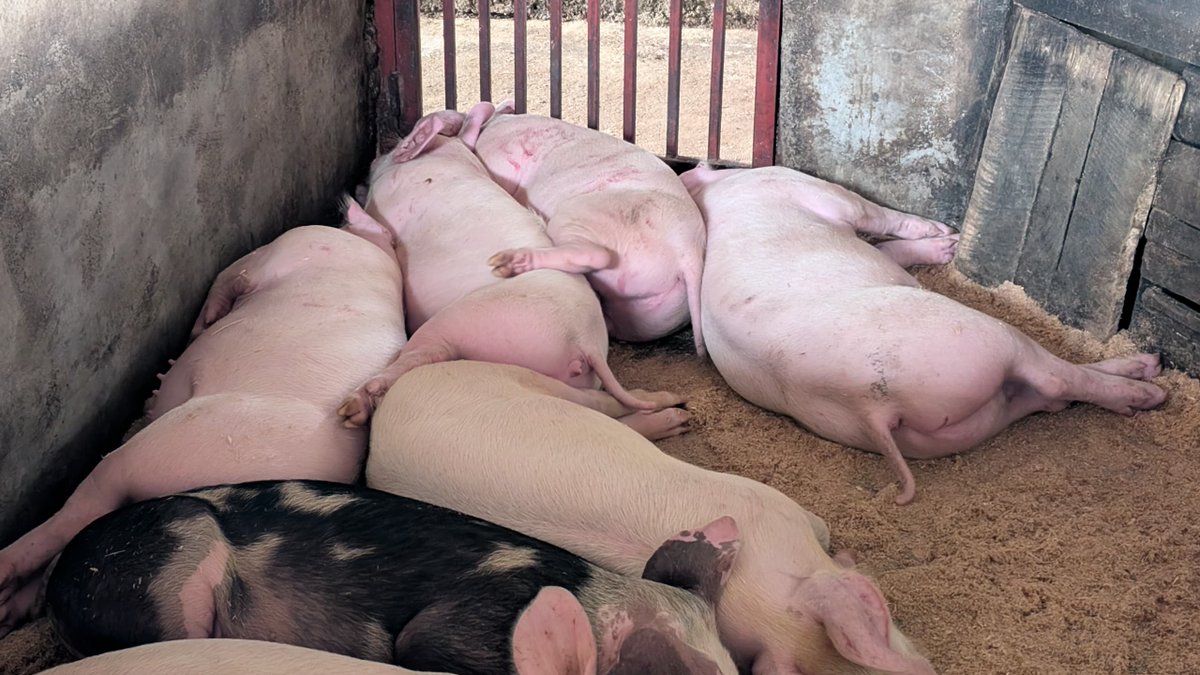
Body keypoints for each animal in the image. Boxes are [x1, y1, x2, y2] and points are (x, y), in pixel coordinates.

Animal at [0, 210, 407, 637]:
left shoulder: (286, 248)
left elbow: (229, 277)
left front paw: (202, 326)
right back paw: (9, 611)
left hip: (150, 452)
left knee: (75, 512)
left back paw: (3, 576)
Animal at [337, 103, 673, 426]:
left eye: (394, 147)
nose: (383, 141)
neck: (447, 157)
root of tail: (585, 342)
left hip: (468, 319)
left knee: (421, 354)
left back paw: (352, 408)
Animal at [367, 360, 936, 675]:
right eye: (885, 621)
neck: (761, 585)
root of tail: (384, 420)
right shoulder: (776, 506)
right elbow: (821, 523)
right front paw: (847, 550)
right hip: (506, 377)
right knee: (595, 398)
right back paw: (673, 411)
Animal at [681, 163, 1167, 505]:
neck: (718, 191)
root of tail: (869, 407)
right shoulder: (813, 190)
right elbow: (879, 215)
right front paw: (945, 234)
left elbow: (890, 249)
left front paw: (945, 245)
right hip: (983, 337)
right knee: (1055, 379)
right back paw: (1150, 383)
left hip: (968, 421)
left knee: (1045, 396)